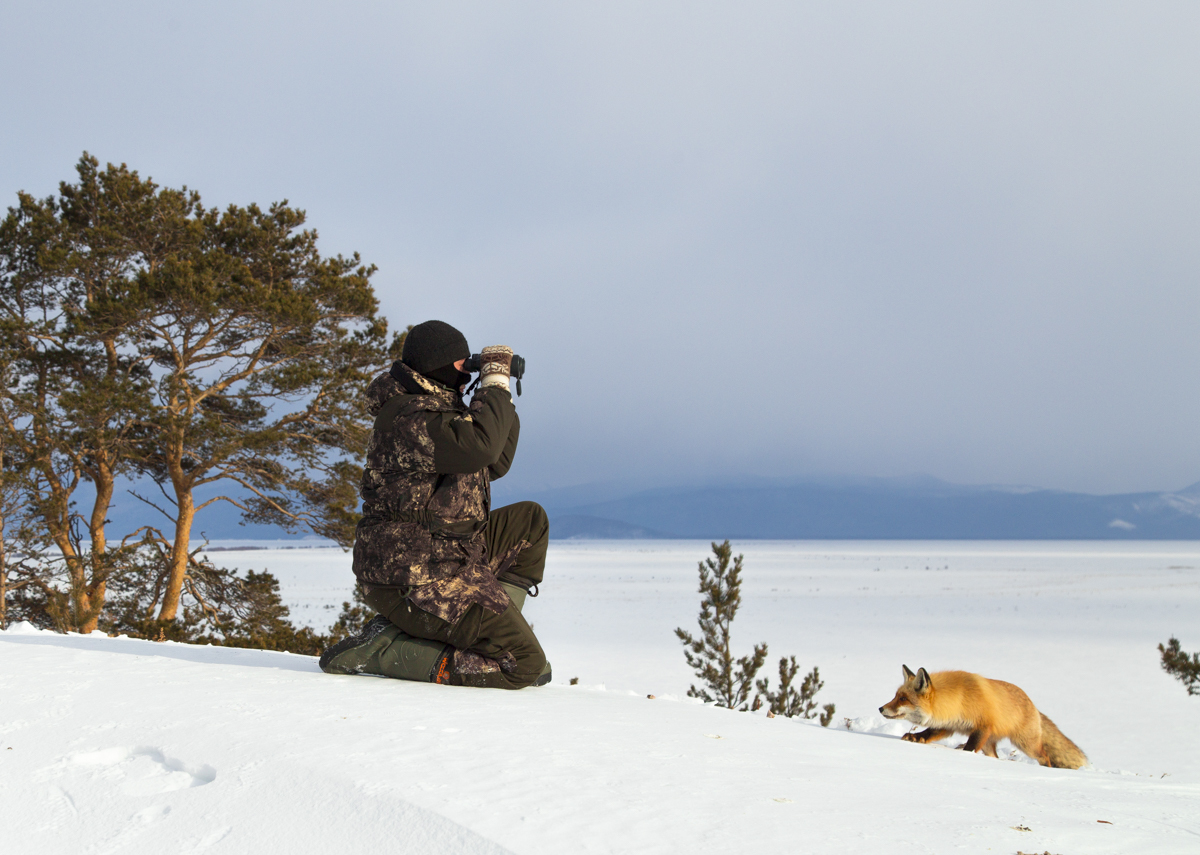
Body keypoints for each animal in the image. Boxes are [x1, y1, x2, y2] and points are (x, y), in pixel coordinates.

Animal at [883, 662, 1089, 773]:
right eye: (895, 696)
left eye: (903, 699)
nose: (880, 708)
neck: (959, 699)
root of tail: (1034, 707)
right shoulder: (948, 725)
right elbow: (929, 733)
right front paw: (915, 737)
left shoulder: (982, 727)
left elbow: (969, 748)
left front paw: (963, 755)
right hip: (990, 745)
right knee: (995, 757)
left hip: (1026, 744)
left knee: (1045, 756)